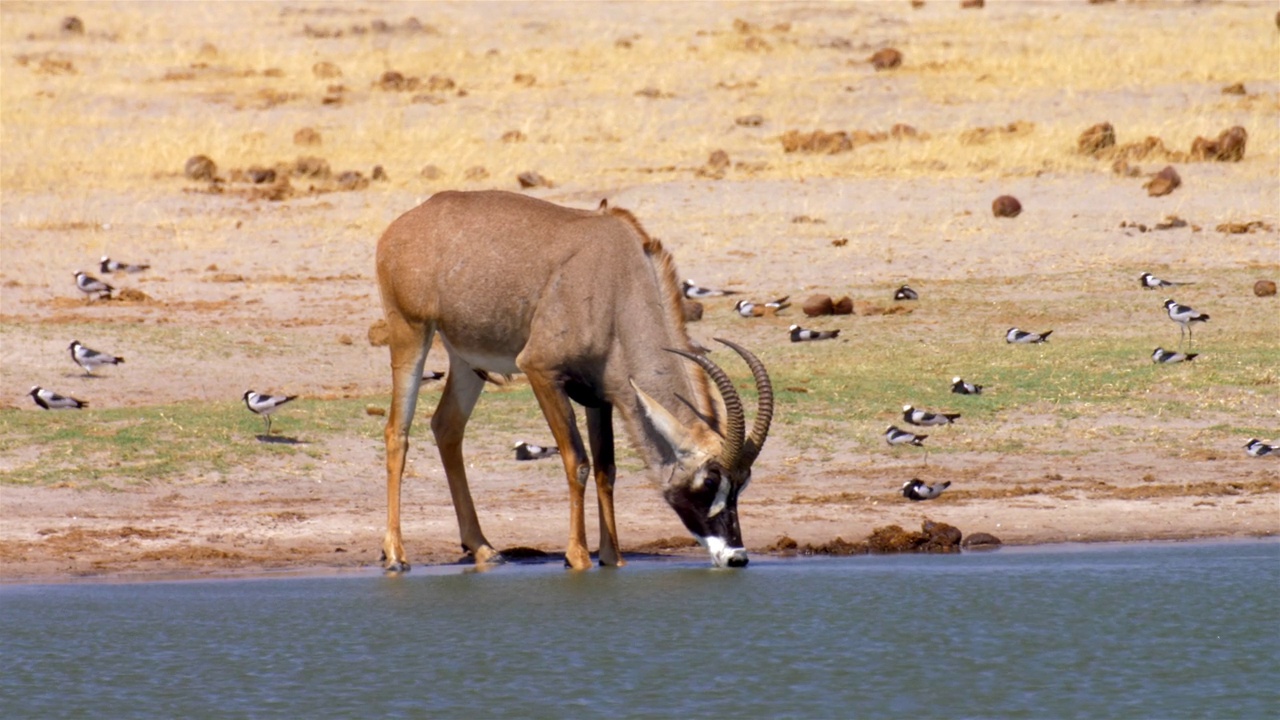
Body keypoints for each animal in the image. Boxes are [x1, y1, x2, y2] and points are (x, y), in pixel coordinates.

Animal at [373, 189, 773, 566]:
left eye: (743, 483)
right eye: (709, 479)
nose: (736, 556)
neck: (617, 283)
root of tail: (403, 225)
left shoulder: (602, 396)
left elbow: (606, 469)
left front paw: (612, 557)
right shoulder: (541, 371)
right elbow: (577, 461)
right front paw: (577, 556)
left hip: (466, 358)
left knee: (447, 427)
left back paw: (483, 549)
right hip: (411, 330)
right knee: (397, 431)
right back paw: (396, 554)